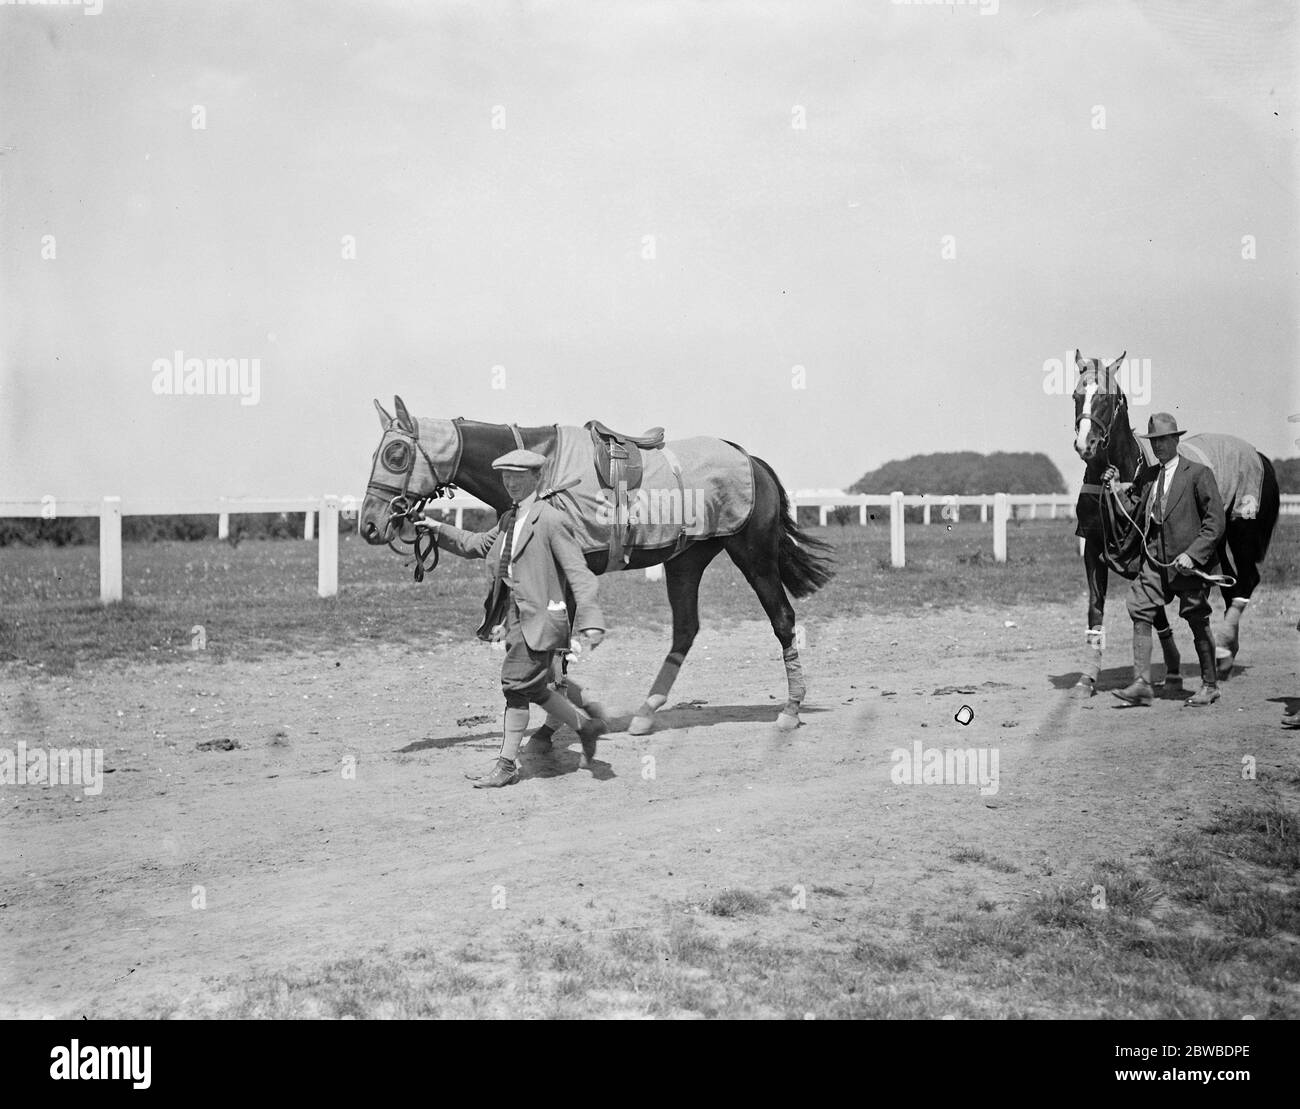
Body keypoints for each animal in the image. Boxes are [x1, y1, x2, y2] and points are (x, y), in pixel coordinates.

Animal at [356, 397, 832, 733]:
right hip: (685, 562)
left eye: (396, 453)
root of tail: (751, 459)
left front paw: (558, 722)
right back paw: (646, 712)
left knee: (783, 619)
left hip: (754, 556)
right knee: (685, 629)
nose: (370, 524)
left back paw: (791, 709)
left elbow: (558, 649)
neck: (544, 469)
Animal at [1076, 351, 1279, 691]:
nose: (1085, 444)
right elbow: (1097, 607)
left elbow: (1154, 606)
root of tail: (1259, 455)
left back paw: (1223, 650)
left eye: (1106, 397)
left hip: (1242, 531)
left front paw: (1171, 669)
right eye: (1077, 395)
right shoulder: (1093, 547)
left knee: (1247, 581)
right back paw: (1224, 657)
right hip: (1213, 541)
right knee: (1229, 585)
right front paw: (1087, 677)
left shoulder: (1144, 549)